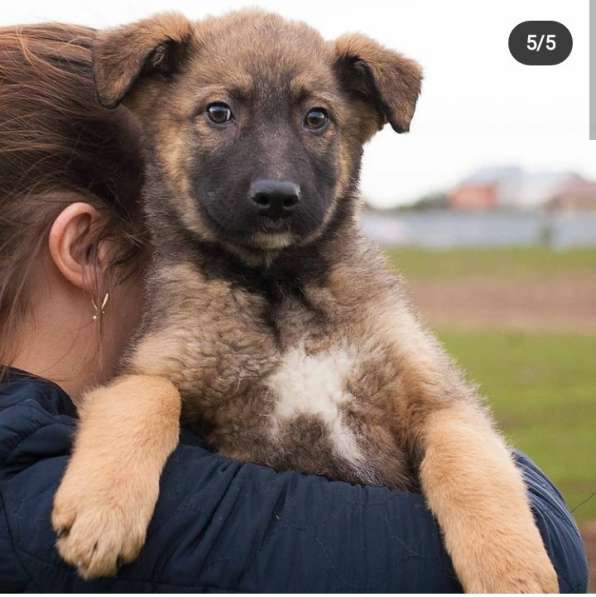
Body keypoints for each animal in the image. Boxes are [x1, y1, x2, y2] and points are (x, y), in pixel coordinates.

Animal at [52, 10, 560, 592]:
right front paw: (101, 511)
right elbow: (143, 398)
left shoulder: (439, 399)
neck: (280, 292)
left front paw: (512, 570)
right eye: (219, 112)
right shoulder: (152, 366)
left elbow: (475, 469)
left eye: (317, 118)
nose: (277, 198)